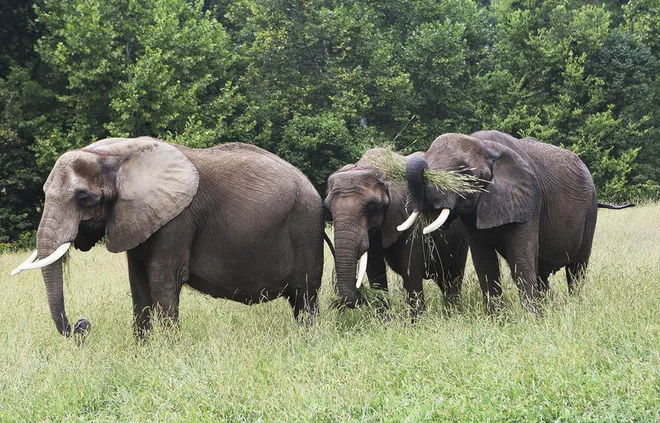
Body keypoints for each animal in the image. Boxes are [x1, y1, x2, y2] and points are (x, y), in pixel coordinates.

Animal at [11, 137, 326, 337]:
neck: (113, 155)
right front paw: (142, 350)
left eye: (84, 198)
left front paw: (168, 351)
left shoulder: (178, 220)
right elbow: (138, 284)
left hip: (305, 227)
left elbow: (164, 280)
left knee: (305, 296)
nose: (81, 326)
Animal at [324, 148, 468, 317]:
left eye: (371, 207)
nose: (359, 297)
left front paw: (416, 320)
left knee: (453, 276)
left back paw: (453, 312)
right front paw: (384, 320)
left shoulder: (409, 217)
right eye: (328, 209)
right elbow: (374, 269)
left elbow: (410, 271)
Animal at [401, 130, 634, 314]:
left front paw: (533, 320)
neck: (485, 146)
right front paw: (497, 320)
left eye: (465, 172)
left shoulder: (530, 201)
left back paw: (574, 305)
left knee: (577, 267)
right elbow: (484, 264)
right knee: (542, 273)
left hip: (590, 209)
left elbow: (520, 260)